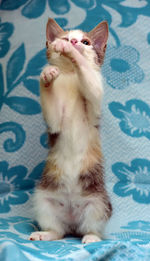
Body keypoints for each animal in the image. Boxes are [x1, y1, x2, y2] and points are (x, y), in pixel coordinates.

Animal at [29, 18, 111, 244]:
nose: (72, 42)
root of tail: (73, 220)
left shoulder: (95, 102)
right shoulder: (56, 122)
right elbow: (54, 119)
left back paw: (92, 238)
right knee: (58, 230)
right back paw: (47, 233)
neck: (72, 76)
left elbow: (91, 84)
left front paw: (73, 54)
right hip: (43, 198)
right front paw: (47, 75)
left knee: (92, 226)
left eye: (86, 42)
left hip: (99, 202)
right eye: (66, 37)